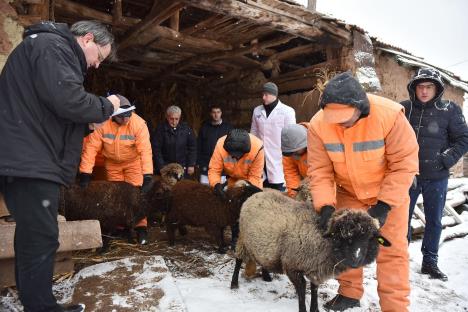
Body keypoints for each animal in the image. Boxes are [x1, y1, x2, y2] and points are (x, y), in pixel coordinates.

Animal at [231, 189, 392, 312]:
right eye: (343, 236)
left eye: (369, 238)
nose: (355, 261)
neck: (323, 239)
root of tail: (256, 194)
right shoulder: (292, 266)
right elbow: (302, 290)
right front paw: (303, 309)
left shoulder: (316, 267)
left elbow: (314, 289)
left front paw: (315, 309)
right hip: (243, 238)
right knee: (238, 259)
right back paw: (234, 284)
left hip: (263, 245)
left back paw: (266, 276)